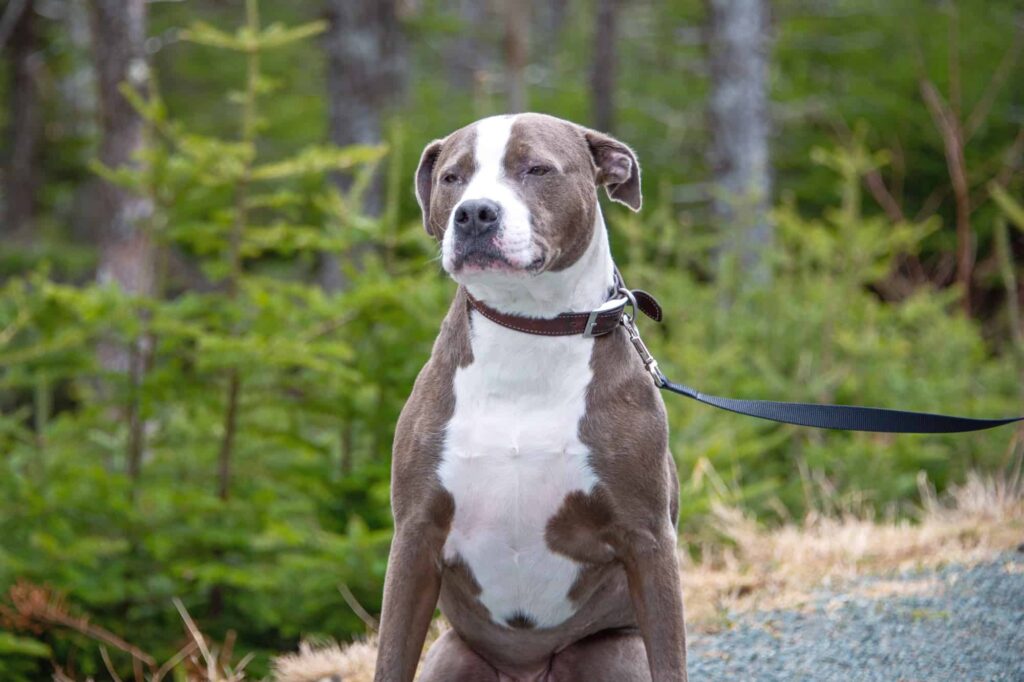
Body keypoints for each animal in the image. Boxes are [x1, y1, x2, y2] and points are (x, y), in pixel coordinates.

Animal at [376, 114, 688, 675]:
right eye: (453, 177)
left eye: (537, 169)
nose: (474, 213)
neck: (530, 331)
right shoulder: (415, 535)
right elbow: (390, 659)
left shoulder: (648, 538)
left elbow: (670, 660)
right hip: (453, 654)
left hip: (615, 651)